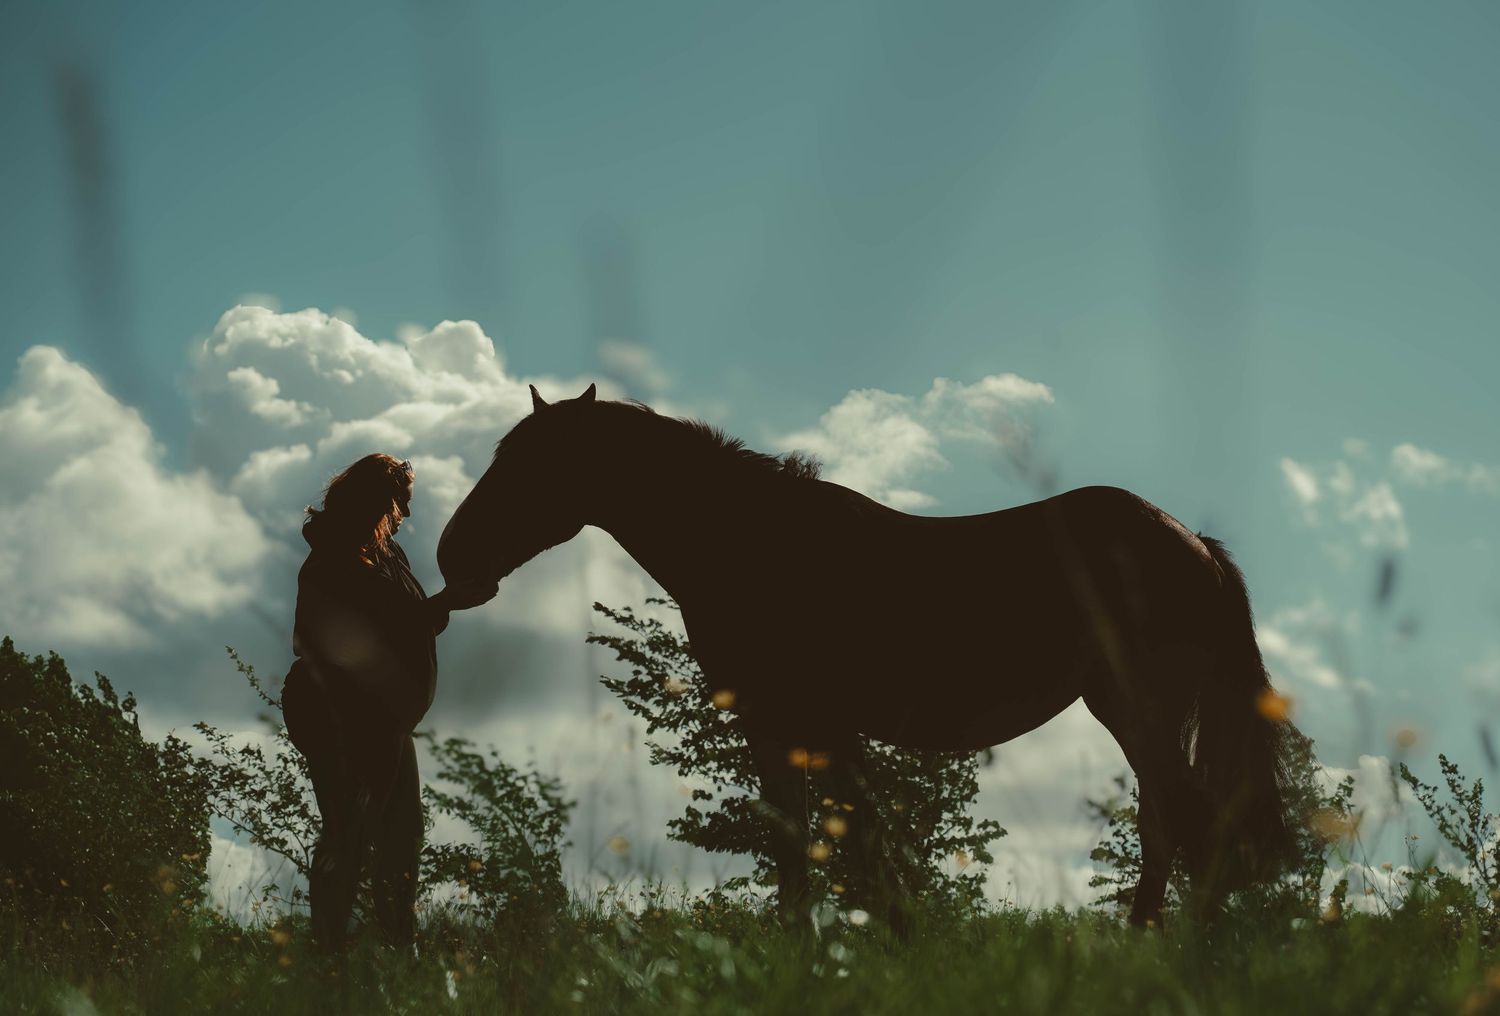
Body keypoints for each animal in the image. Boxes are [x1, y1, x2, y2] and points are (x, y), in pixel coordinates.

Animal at [437, 383, 1299, 928]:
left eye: (533, 465)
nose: (451, 556)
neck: (751, 545)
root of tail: (1192, 543)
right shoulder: (781, 727)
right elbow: (810, 843)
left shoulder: (816, 722)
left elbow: (854, 842)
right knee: (1169, 824)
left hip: (1136, 707)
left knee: (1190, 825)